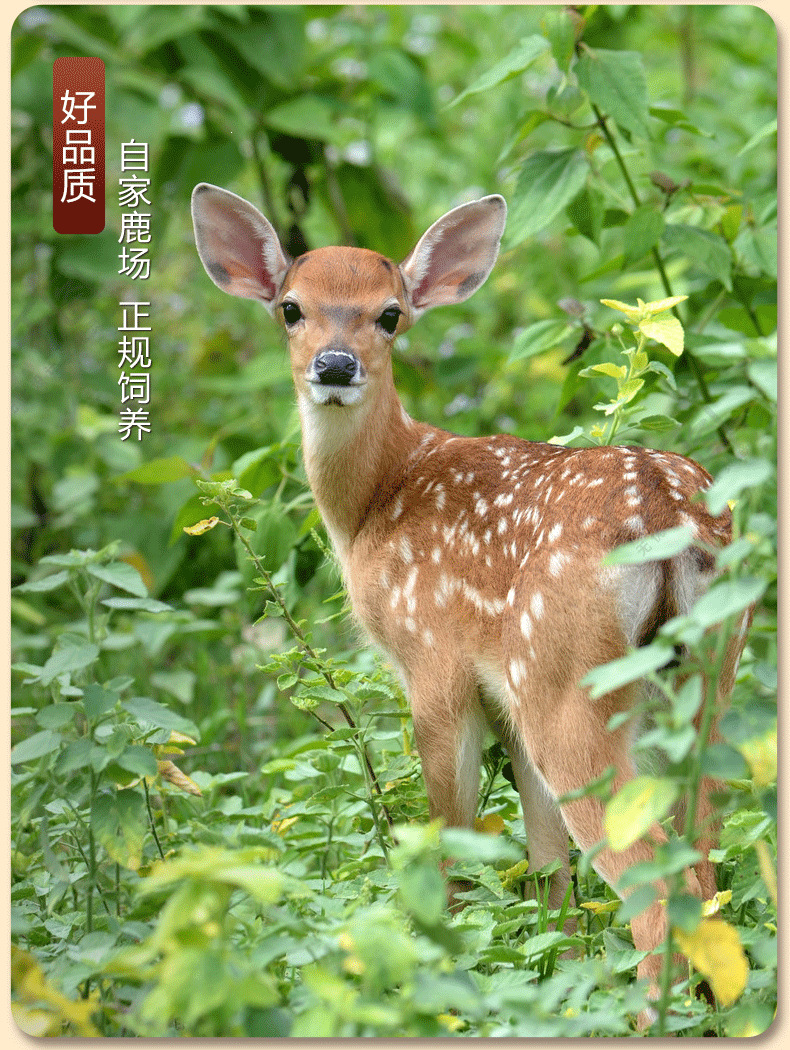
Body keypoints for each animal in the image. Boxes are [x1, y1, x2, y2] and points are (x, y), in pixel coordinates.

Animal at [191, 183, 751, 1027]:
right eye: (292, 308)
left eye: (390, 314)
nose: (335, 365)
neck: (378, 498)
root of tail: (666, 510)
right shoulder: (504, 693)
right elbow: (548, 872)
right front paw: (552, 976)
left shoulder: (435, 662)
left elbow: (447, 852)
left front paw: (446, 980)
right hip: (702, 682)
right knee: (706, 866)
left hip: (569, 686)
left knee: (659, 887)